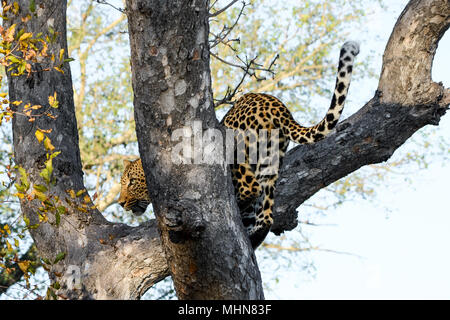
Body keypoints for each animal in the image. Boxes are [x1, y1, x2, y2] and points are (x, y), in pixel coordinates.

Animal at [118, 41, 358, 249]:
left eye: (131, 182)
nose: (120, 203)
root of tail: (276, 106)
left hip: (238, 152)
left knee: (250, 188)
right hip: (271, 163)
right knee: (265, 214)